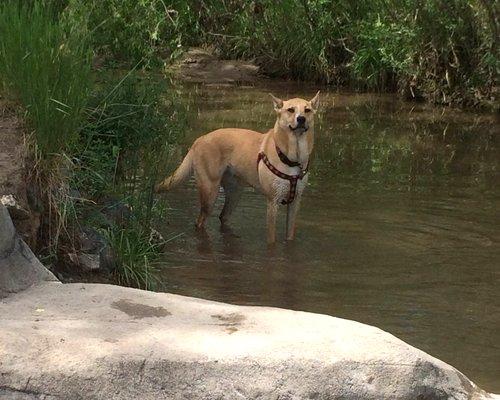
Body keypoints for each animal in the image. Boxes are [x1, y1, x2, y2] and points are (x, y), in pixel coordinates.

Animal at [156, 92, 320, 244]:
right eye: (291, 110)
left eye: (307, 110)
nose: (301, 119)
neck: (293, 158)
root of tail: (199, 139)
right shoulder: (272, 202)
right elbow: (271, 239)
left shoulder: (295, 202)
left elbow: (290, 235)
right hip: (209, 193)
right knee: (200, 222)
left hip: (234, 194)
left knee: (222, 216)